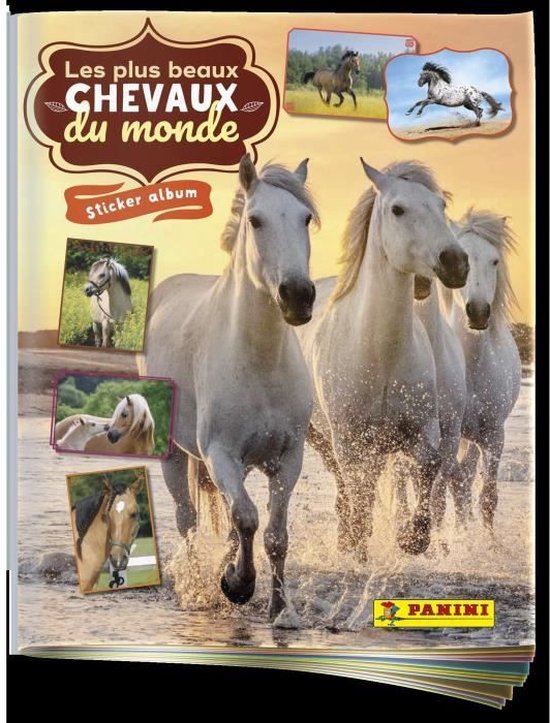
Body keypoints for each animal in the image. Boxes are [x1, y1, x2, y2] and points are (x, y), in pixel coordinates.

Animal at [142, 154, 318, 621]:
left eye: (305, 218)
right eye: (255, 220)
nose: (298, 295)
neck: (260, 361)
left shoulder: (288, 458)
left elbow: (274, 534)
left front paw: (280, 608)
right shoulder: (220, 453)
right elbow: (247, 519)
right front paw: (237, 584)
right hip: (177, 455)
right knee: (188, 519)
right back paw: (196, 584)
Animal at [296, 159, 469, 562]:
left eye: (441, 206)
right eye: (398, 209)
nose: (455, 262)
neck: (382, 355)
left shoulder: (424, 431)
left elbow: (429, 467)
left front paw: (412, 538)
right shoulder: (349, 440)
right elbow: (358, 491)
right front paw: (359, 544)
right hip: (322, 437)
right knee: (346, 485)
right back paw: (348, 539)